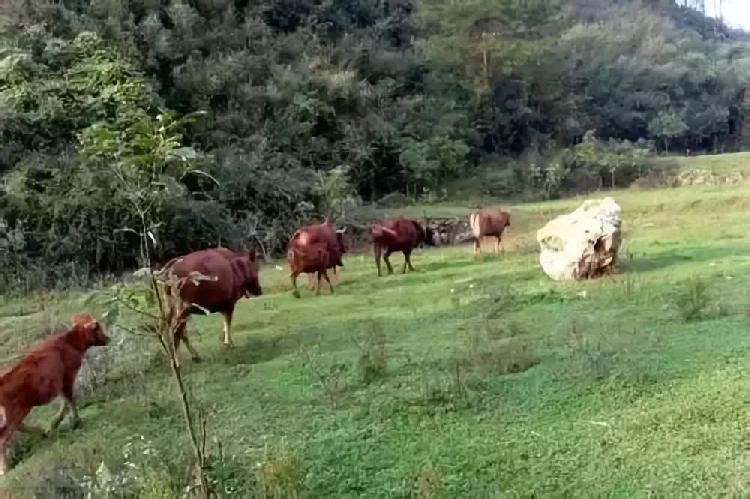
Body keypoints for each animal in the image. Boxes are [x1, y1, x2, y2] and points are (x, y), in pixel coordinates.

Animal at [0, 312, 109, 476]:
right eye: (97, 327)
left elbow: (65, 401)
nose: (108, 338)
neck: (69, 342)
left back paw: (43, 432)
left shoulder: (61, 383)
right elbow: (69, 400)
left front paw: (55, 423)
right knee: (3, 437)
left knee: (19, 427)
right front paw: (75, 420)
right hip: (15, 413)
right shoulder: (67, 378)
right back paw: (5, 469)